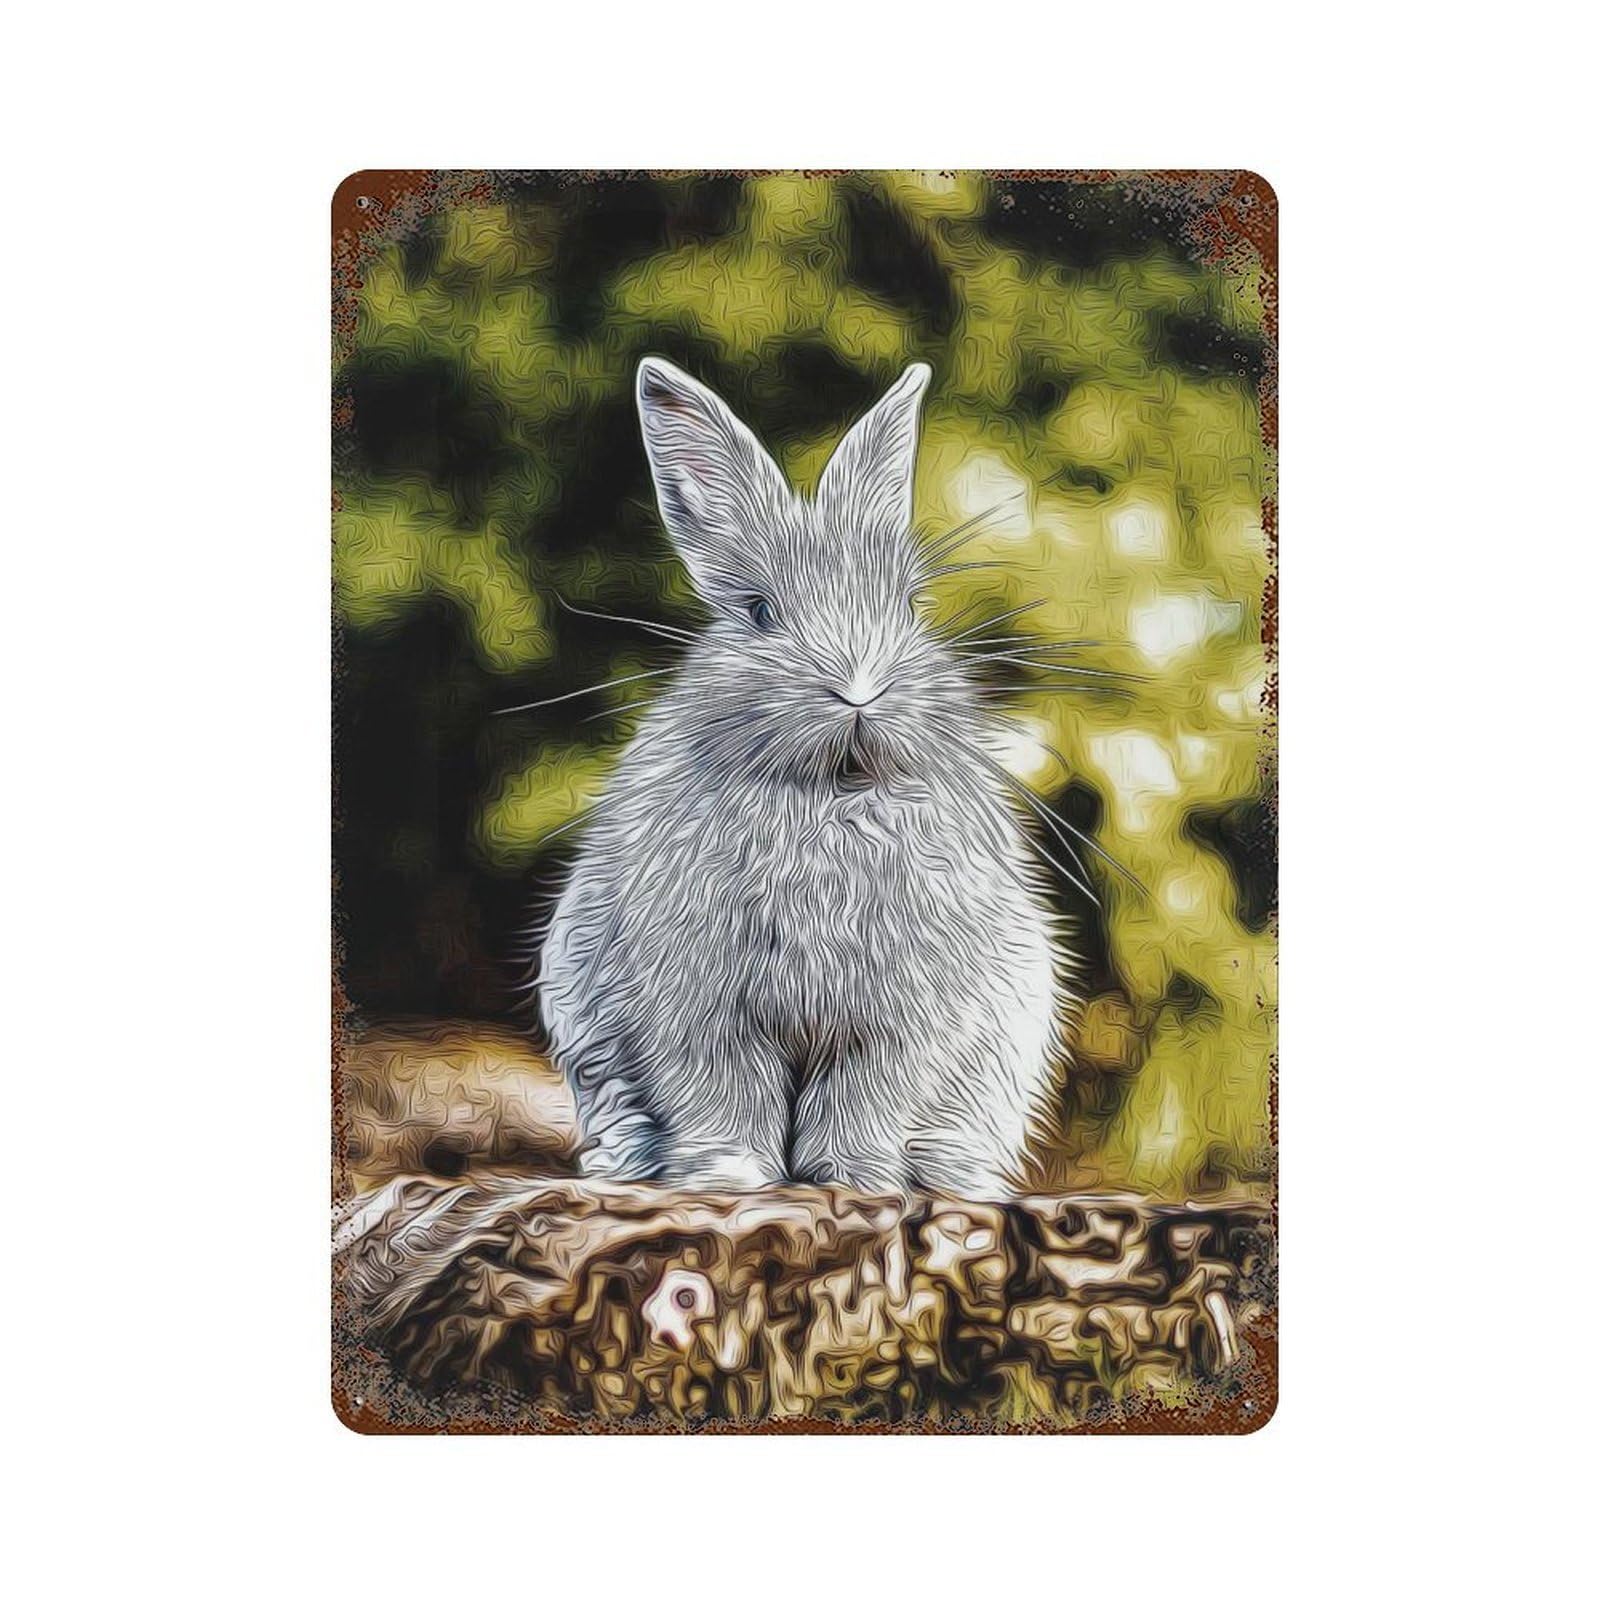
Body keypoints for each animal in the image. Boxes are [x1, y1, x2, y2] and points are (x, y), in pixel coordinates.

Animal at [537, 356, 1072, 1199]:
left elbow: (864, 1099)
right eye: (759, 613)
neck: (833, 796)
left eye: (910, 605)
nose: (858, 689)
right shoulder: (701, 1009)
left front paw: (853, 1181)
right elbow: (721, 1093)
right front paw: (727, 1178)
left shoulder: (898, 1020)